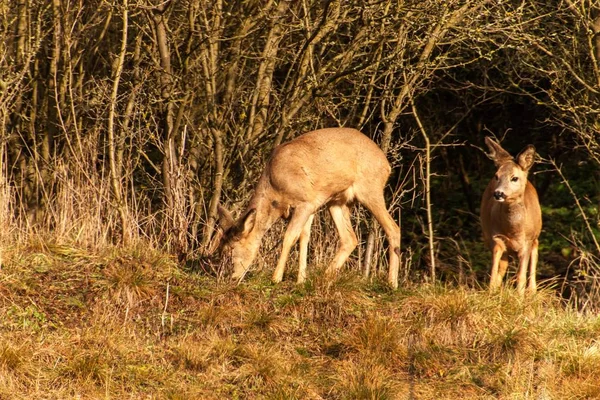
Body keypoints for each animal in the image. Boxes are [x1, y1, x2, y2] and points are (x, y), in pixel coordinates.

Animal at [213, 128, 400, 288]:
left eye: (231, 250)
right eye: (219, 249)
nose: (229, 279)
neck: (275, 188)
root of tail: (386, 164)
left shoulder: (305, 202)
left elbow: (290, 236)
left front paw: (276, 278)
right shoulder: (312, 204)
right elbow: (304, 236)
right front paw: (301, 279)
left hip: (370, 188)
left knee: (393, 228)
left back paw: (392, 283)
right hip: (337, 201)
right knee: (350, 238)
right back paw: (325, 276)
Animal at [480, 136, 540, 296]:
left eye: (514, 178)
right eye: (496, 176)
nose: (498, 193)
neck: (513, 230)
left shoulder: (526, 241)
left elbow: (521, 275)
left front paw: (519, 297)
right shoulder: (496, 238)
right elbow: (494, 272)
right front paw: (491, 292)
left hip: (535, 237)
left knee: (534, 255)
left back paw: (532, 291)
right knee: (502, 267)